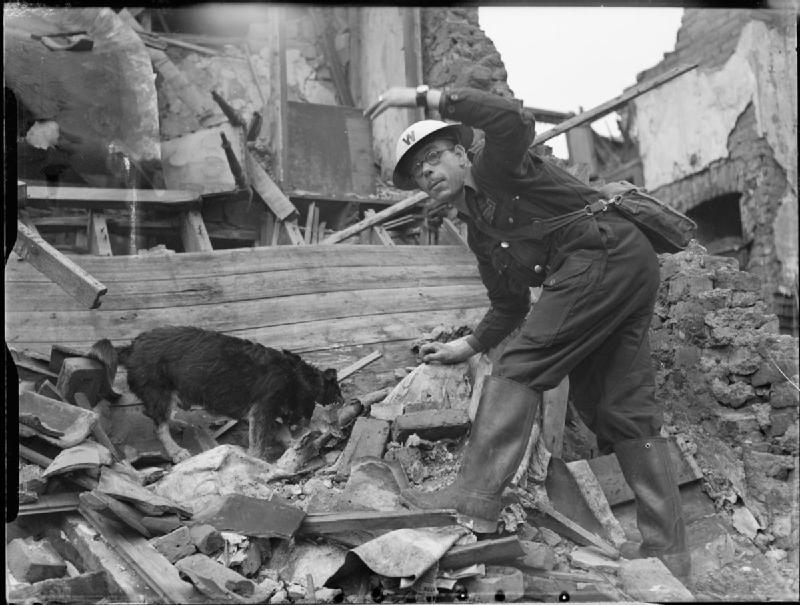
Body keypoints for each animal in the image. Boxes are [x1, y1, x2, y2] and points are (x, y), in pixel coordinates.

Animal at [91, 326, 344, 462]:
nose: (343, 401)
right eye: (336, 391)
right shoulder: (262, 409)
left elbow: (281, 431)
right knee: (158, 426)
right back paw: (175, 451)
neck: (297, 377)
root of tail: (131, 347)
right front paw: (258, 459)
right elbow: (259, 440)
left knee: (157, 416)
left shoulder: (268, 411)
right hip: (159, 392)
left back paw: (176, 424)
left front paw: (294, 444)